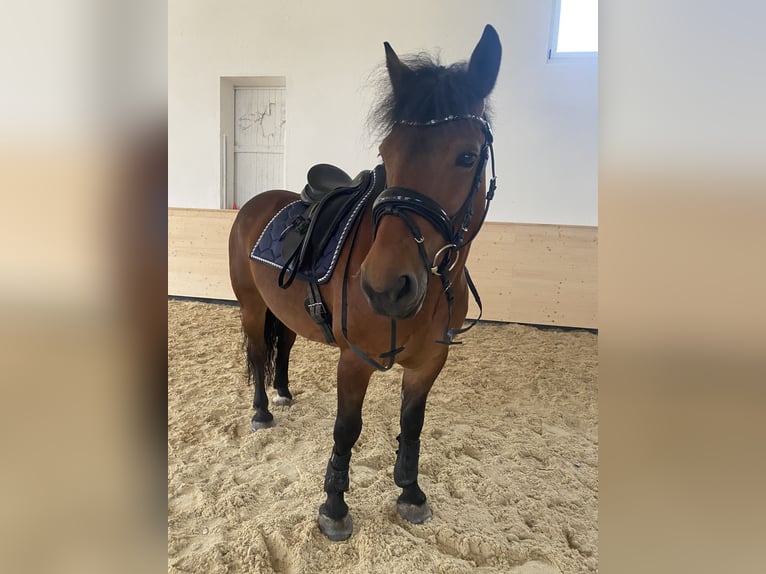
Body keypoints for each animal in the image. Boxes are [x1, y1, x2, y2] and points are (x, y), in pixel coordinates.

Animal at [228, 25, 501, 541]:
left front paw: (411, 492)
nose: (384, 287)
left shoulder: (429, 363)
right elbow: (346, 429)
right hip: (253, 307)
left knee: (282, 348)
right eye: (386, 154)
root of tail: (253, 204)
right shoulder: (354, 361)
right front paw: (334, 506)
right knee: (256, 352)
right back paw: (262, 410)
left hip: (285, 311)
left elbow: (412, 424)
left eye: (467, 155)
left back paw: (285, 393)